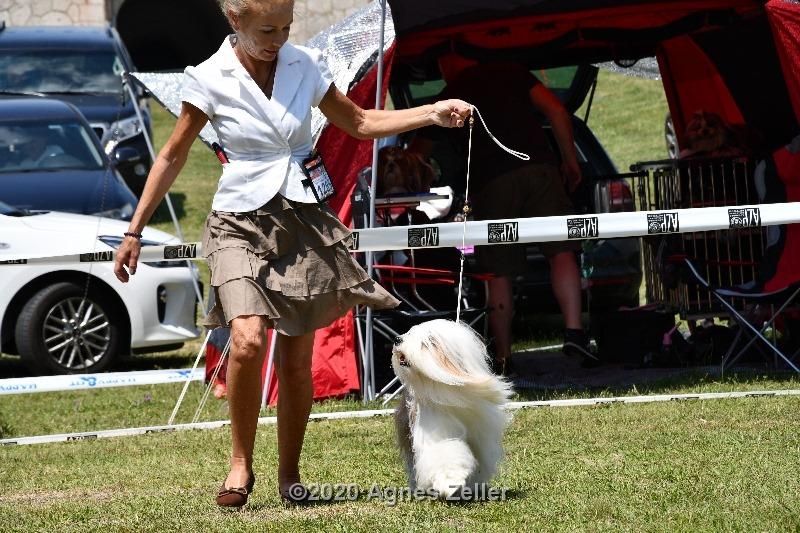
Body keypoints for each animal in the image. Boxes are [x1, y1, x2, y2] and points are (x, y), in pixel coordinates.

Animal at [392, 320, 516, 498]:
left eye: (426, 342)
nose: (397, 339)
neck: (450, 391)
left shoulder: (482, 434)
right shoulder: (436, 428)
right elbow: (445, 451)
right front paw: (451, 481)